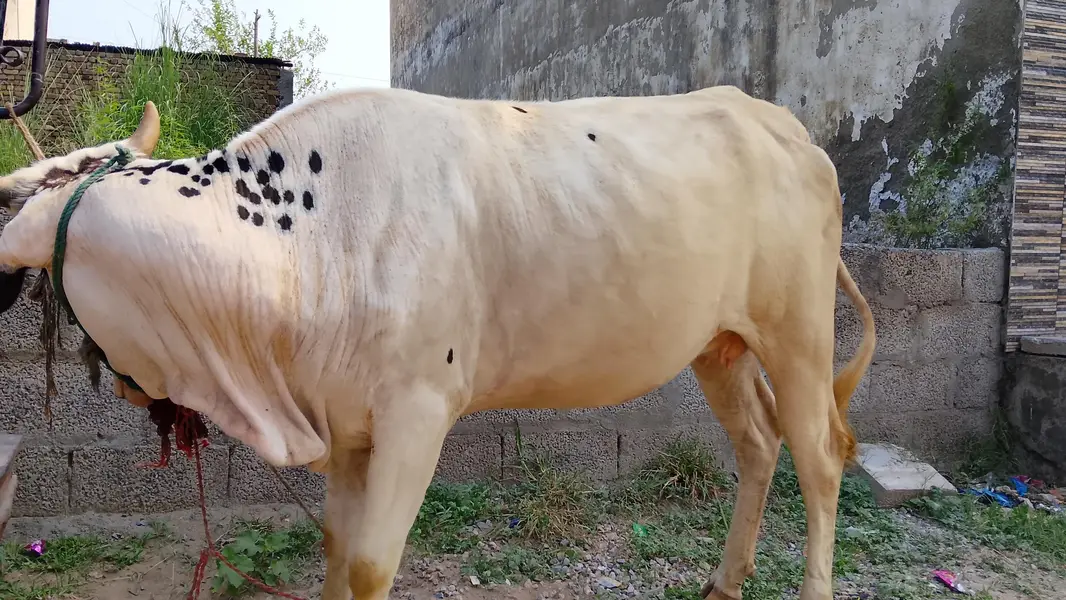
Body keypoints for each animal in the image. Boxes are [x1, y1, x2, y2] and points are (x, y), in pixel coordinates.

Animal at [0, 85, 875, 600]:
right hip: (719, 344)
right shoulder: (346, 425)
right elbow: (335, 548)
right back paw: (725, 583)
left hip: (798, 332)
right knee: (759, 444)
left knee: (820, 458)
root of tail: (783, 124)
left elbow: (369, 563)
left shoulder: (418, 411)